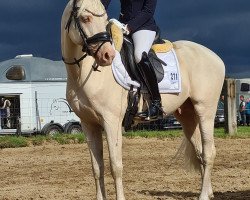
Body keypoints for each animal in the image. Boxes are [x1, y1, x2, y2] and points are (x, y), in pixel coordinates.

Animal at [61, 0, 226, 200]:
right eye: (86, 18)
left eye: (105, 19)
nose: (108, 56)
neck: (85, 73)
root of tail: (215, 57)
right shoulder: (88, 124)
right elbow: (97, 168)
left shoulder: (111, 122)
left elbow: (115, 167)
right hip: (187, 115)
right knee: (200, 152)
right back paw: (208, 192)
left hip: (205, 110)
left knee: (209, 152)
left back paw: (203, 195)